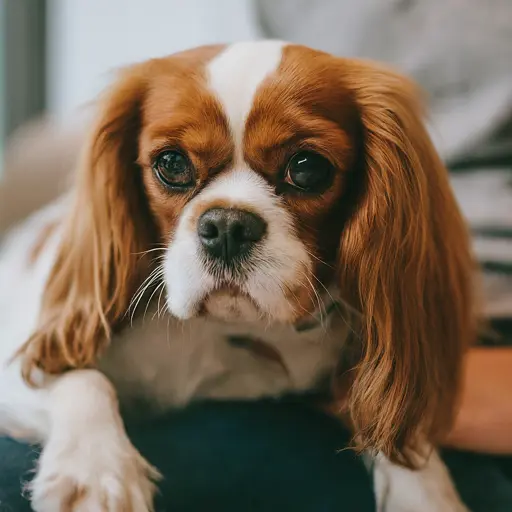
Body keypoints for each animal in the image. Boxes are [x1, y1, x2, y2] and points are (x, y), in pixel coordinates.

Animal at [0, 42, 474, 510]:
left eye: (307, 168)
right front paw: (97, 470)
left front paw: (424, 489)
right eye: (171, 163)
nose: (227, 226)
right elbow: (82, 378)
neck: (221, 329)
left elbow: (390, 419)